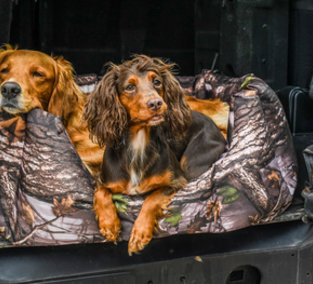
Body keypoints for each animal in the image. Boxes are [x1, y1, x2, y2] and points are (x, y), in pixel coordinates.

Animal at [83, 54, 227, 254]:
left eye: (157, 82)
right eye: (129, 87)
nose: (156, 103)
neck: (139, 142)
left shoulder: (176, 181)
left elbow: (152, 198)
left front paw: (140, 234)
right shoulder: (105, 180)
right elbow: (100, 192)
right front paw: (109, 225)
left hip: (189, 163)